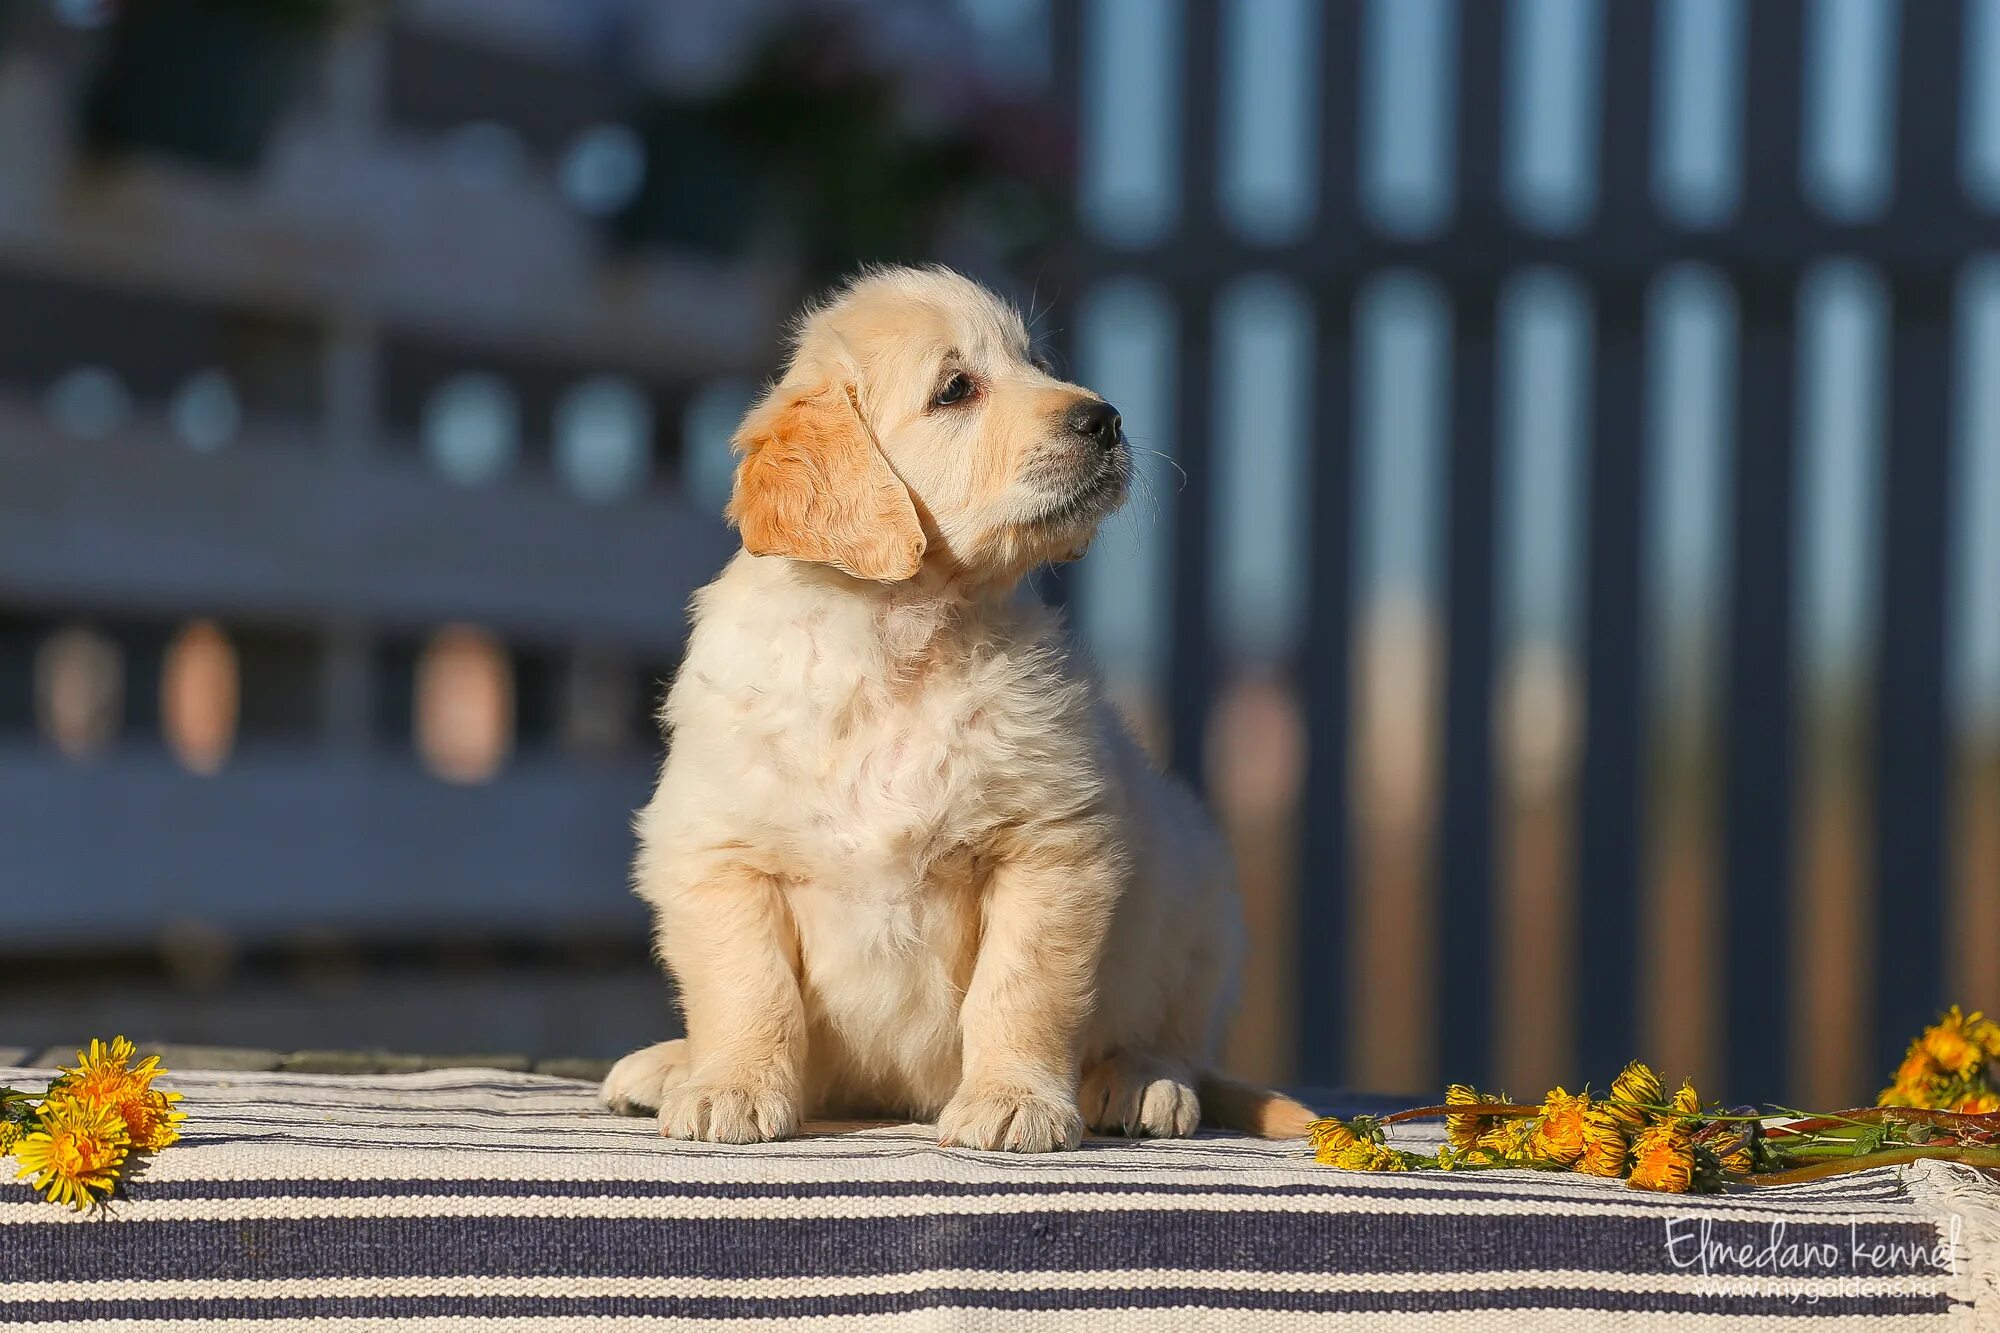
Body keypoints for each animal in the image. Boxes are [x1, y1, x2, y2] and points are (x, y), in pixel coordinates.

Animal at [596, 264, 1312, 1144]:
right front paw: (730, 1084)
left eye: (1036, 360)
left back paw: (1143, 1079)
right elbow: (748, 986)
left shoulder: (1050, 846)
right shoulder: (717, 851)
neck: (898, 636)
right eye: (956, 389)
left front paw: (1013, 1098)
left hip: (1197, 890)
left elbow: (1021, 989)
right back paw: (672, 1063)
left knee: (1178, 1033)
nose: (1106, 419)